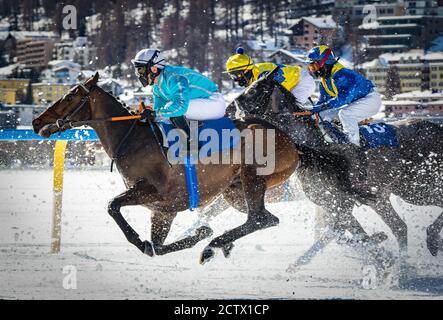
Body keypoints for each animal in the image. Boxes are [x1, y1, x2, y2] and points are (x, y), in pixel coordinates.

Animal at [33, 74, 300, 264]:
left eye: (70, 96)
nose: (37, 122)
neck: (134, 140)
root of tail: (291, 141)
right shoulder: (163, 210)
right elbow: (159, 248)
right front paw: (200, 232)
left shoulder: (152, 191)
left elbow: (113, 206)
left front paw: (140, 241)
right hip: (234, 192)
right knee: (265, 218)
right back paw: (220, 244)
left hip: (252, 177)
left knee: (260, 218)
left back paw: (213, 246)